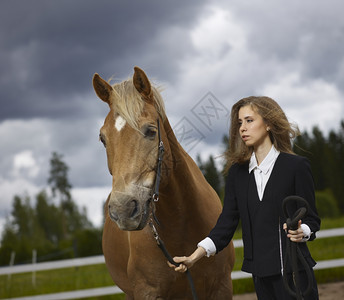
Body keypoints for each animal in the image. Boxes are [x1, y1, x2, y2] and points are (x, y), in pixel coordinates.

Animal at [92, 67, 235, 298]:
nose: (123, 209)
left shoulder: (222, 286)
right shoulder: (146, 292)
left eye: (151, 131)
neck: (181, 224)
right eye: (103, 138)